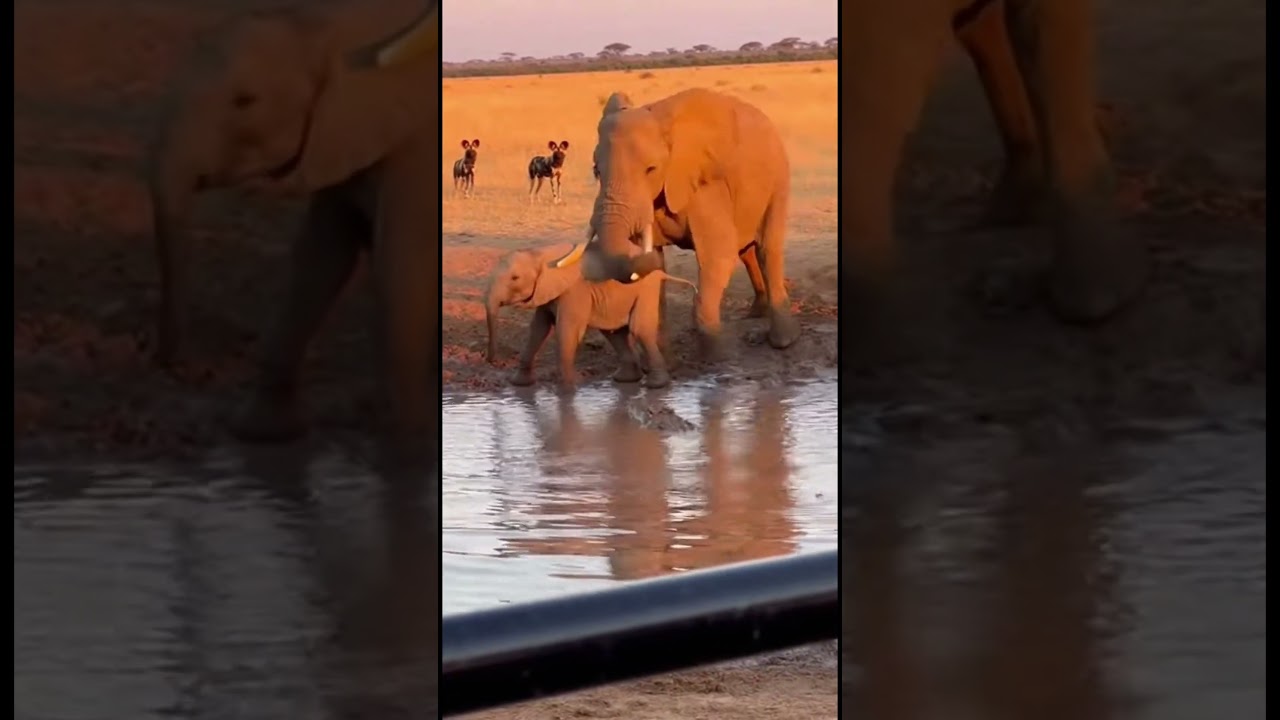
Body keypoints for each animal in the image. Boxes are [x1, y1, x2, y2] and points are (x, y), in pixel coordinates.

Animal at [148, 4, 441, 449]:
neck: (339, 33)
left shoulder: (418, 153)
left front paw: (407, 447)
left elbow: (400, 261)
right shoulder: (340, 138)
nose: (184, 368)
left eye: (245, 101)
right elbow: (317, 258)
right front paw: (260, 433)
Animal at [484, 242, 696, 390]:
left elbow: (566, 329)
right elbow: (538, 329)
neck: (542, 254)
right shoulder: (547, 291)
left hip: (646, 288)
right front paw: (519, 384)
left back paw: (656, 385)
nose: (495, 362)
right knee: (614, 332)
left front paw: (567, 391)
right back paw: (625, 379)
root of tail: (660, 271)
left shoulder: (575, 291)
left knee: (639, 329)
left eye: (515, 278)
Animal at [559, 88, 802, 361]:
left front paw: (717, 360)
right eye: (596, 171)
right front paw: (666, 361)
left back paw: (782, 341)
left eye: (651, 169)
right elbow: (655, 263)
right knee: (747, 251)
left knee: (766, 248)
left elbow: (718, 255)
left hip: (778, 177)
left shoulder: (704, 185)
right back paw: (755, 314)